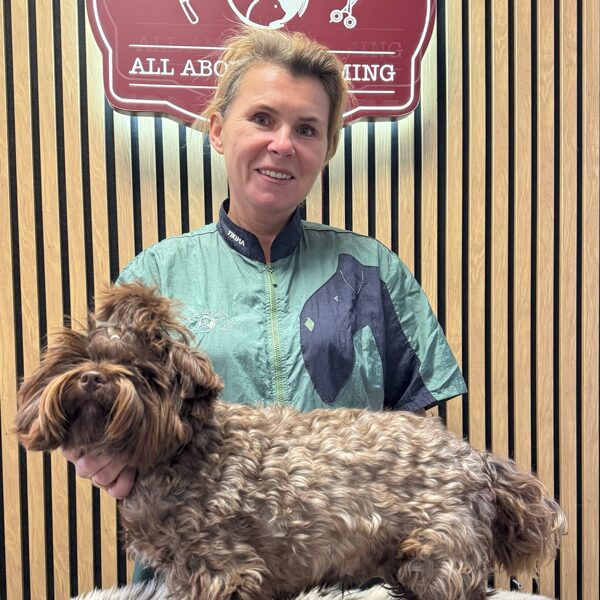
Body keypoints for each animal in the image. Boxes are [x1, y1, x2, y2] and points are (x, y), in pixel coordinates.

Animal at [15, 283, 566, 600]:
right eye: (77, 357)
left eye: (142, 371)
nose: (93, 378)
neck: (181, 455)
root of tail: (475, 457)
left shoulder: (219, 568)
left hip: (441, 553)